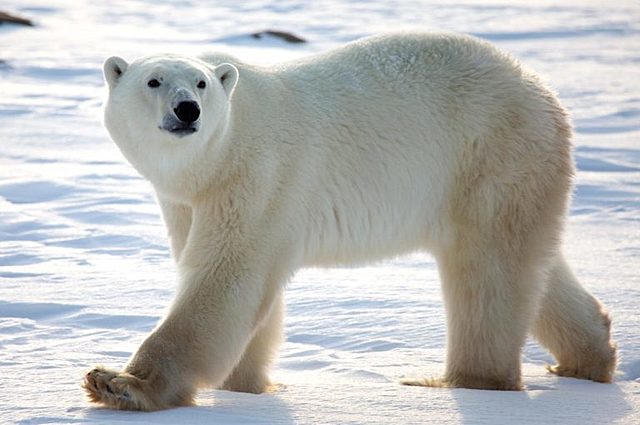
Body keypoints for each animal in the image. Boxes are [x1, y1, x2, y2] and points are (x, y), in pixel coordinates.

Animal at [84, 32, 617, 411]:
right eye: (153, 81)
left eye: (201, 84)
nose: (187, 110)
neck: (218, 154)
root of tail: (543, 91)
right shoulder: (187, 201)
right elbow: (248, 291)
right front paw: (247, 388)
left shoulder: (260, 172)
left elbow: (225, 277)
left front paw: (119, 383)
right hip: (512, 173)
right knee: (533, 265)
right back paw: (588, 358)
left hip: (489, 154)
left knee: (486, 274)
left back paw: (460, 382)